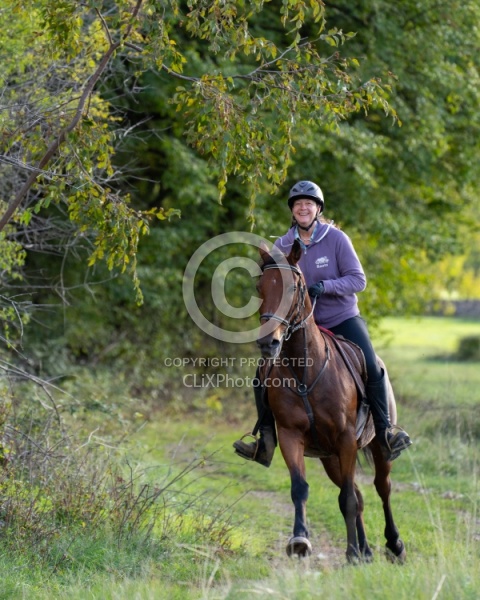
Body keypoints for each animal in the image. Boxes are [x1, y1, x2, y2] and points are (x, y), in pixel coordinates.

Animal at [255, 239, 404, 564]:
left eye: (293, 288)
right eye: (259, 287)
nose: (268, 343)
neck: (305, 371)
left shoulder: (346, 438)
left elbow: (347, 499)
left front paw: (350, 552)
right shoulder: (290, 436)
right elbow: (300, 489)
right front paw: (300, 540)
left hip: (377, 448)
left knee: (381, 489)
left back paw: (394, 545)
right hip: (330, 457)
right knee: (360, 495)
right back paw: (366, 551)